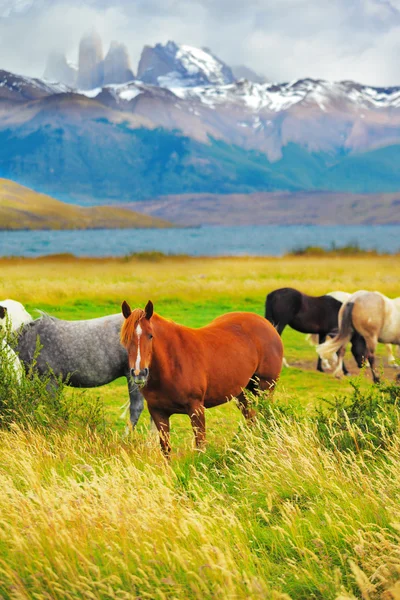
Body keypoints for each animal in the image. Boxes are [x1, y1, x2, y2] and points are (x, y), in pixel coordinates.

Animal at [120, 300, 282, 454]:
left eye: (150, 335)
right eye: (126, 339)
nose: (139, 373)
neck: (171, 364)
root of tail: (268, 325)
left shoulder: (196, 409)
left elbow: (200, 446)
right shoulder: (158, 412)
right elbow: (166, 449)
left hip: (266, 387)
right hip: (243, 392)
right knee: (252, 419)